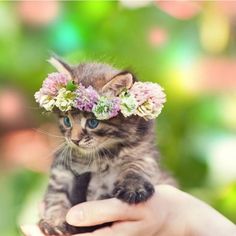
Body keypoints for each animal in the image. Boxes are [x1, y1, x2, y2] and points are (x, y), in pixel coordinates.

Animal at [38, 57, 175, 236]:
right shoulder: (62, 166)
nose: (74, 140)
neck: (102, 155)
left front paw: (133, 187)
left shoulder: (144, 152)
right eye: (67, 121)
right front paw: (54, 221)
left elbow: (138, 165)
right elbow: (57, 194)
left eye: (92, 123)